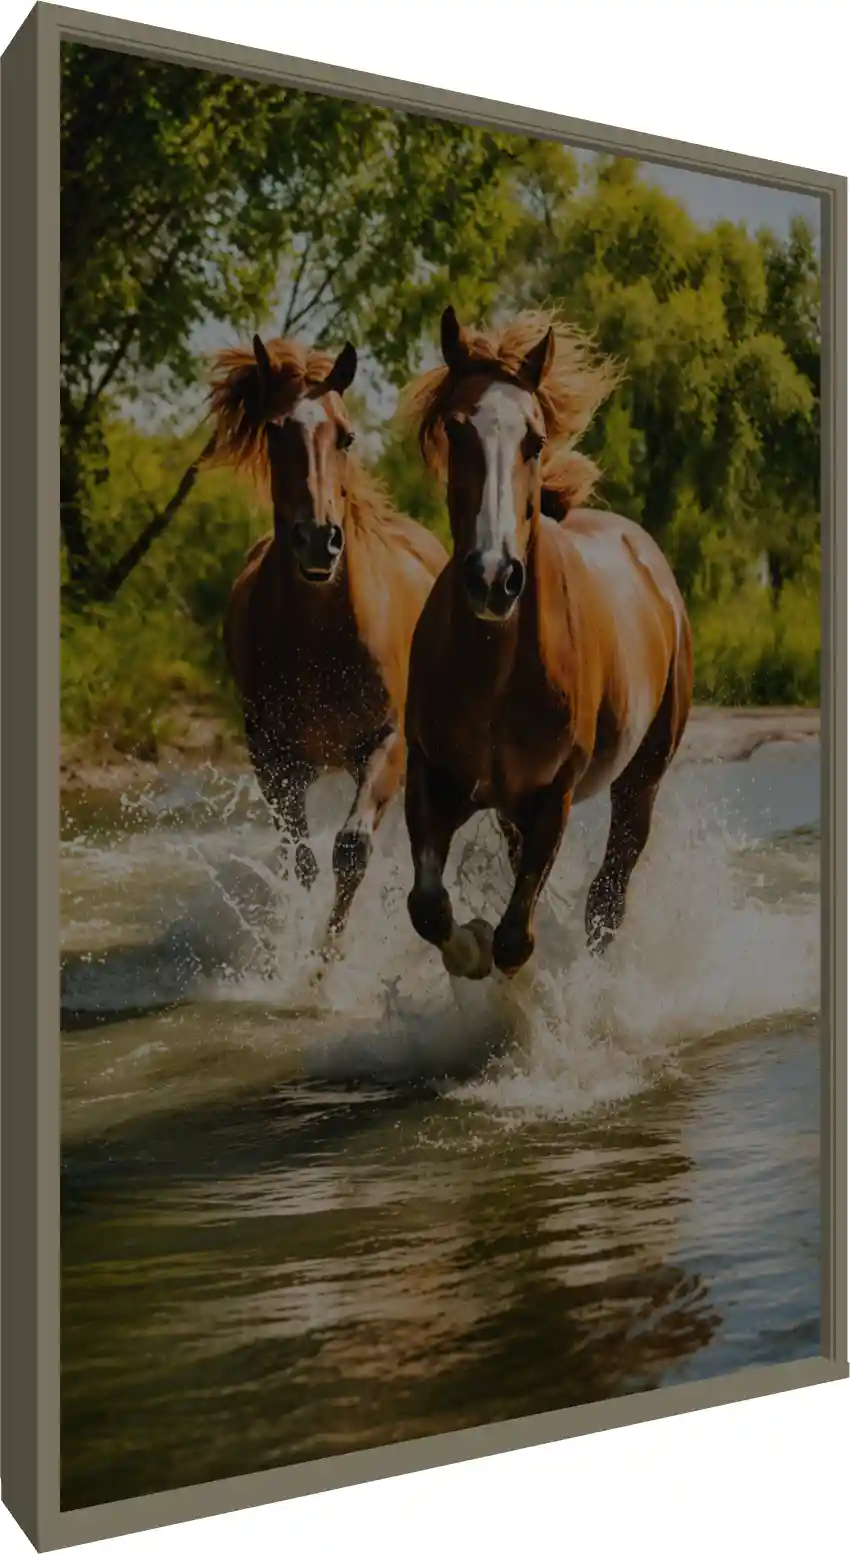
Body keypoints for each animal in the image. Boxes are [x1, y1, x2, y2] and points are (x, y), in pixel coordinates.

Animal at [207, 331, 448, 948]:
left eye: (347, 435)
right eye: (274, 430)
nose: (319, 540)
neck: (321, 637)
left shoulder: (387, 743)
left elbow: (351, 850)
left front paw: (328, 955)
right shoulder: (274, 758)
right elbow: (303, 859)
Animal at [397, 305, 693, 982]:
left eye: (533, 440)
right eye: (456, 430)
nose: (493, 577)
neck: (498, 667)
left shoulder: (550, 796)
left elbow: (516, 938)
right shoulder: (433, 775)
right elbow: (427, 905)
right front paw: (470, 948)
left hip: (642, 779)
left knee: (608, 897)